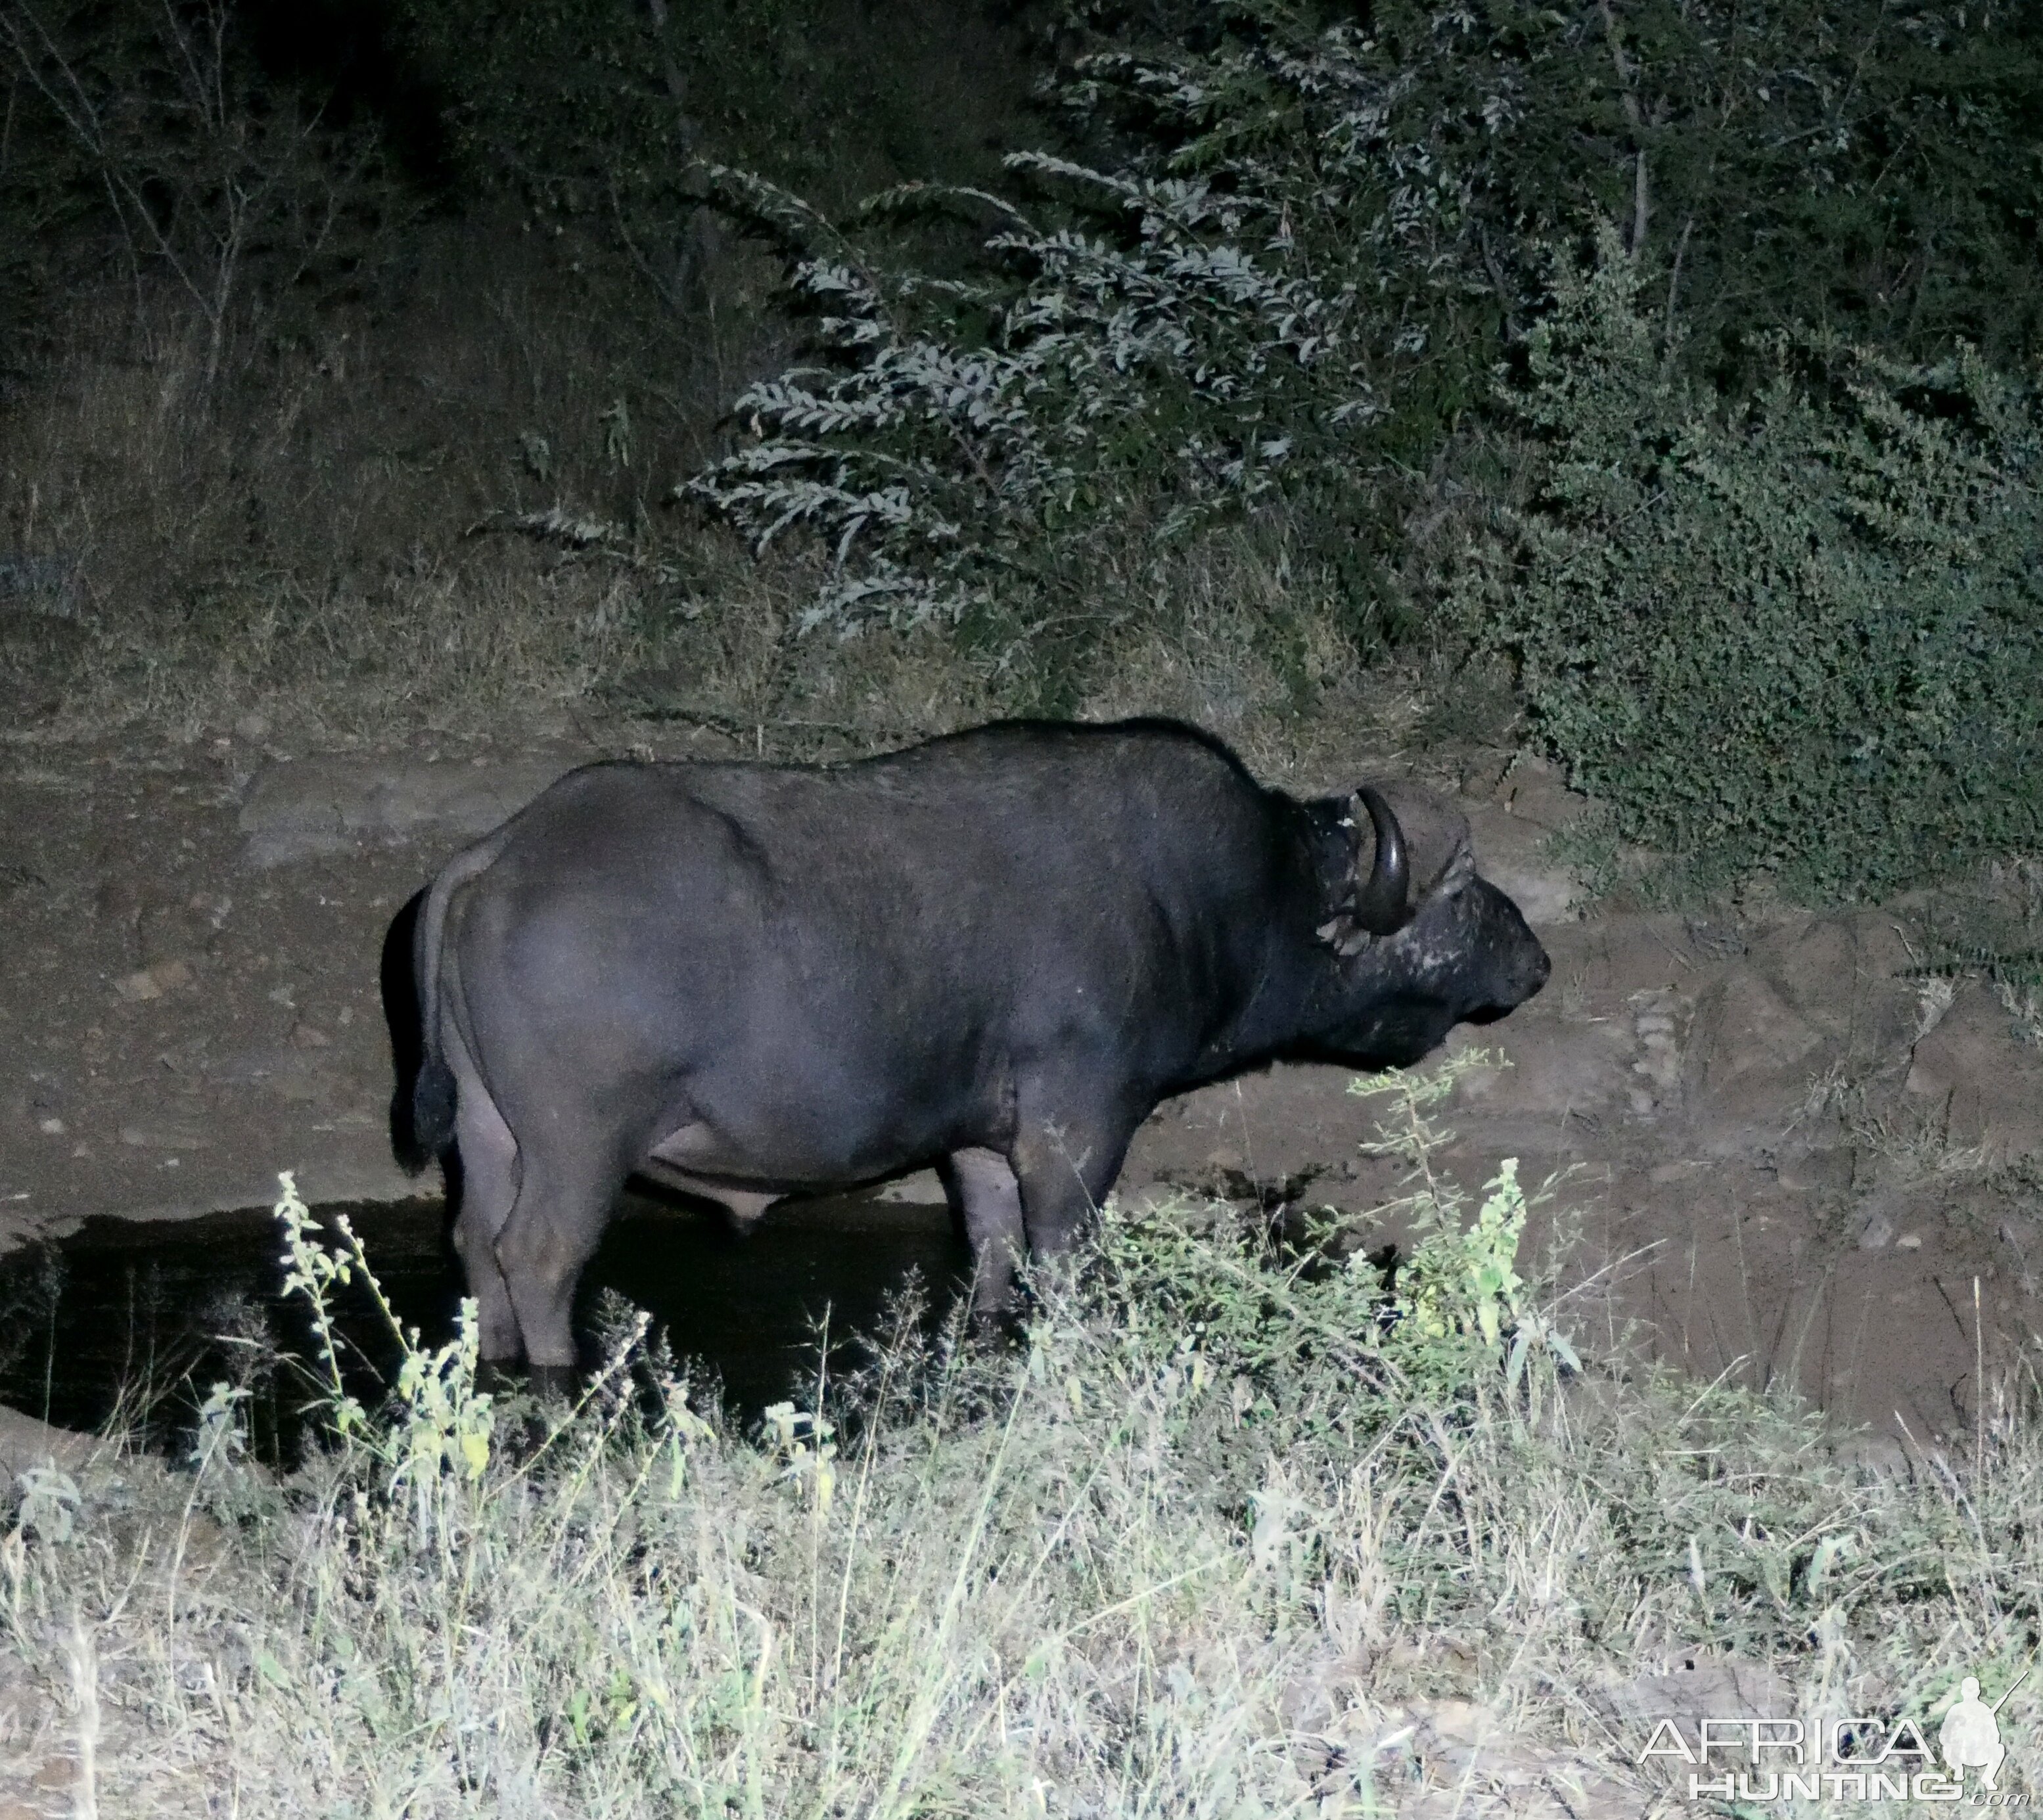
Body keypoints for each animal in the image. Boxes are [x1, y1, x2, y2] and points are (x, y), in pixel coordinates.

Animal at [390, 719, 1544, 1389]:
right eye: (1459, 896)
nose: (1533, 959)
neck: (1239, 894)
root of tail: (498, 854)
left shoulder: (984, 1147)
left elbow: (992, 1254)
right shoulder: (1077, 1130)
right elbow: (1064, 1261)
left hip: (491, 1135)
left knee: (476, 1243)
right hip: (580, 1144)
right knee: (539, 1255)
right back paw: (559, 1391)